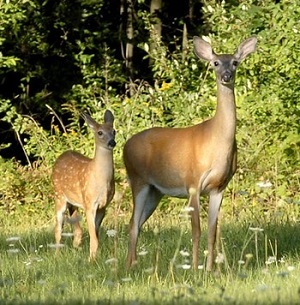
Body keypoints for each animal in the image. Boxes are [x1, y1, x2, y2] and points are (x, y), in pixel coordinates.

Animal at [52, 109, 115, 258]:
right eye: (100, 132)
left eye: (114, 131)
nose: (112, 142)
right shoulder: (89, 203)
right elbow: (94, 237)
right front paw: (91, 259)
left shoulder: (103, 206)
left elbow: (95, 235)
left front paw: (93, 256)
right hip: (59, 195)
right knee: (58, 229)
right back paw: (56, 255)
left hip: (73, 202)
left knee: (77, 231)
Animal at [123, 36, 256, 270]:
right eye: (215, 63)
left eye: (235, 62)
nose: (226, 76)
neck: (217, 144)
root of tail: (124, 145)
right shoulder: (193, 182)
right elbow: (196, 230)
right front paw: (195, 268)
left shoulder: (218, 188)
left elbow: (212, 231)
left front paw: (211, 269)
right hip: (137, 179)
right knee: (132, 222)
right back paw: (130, 266)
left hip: (155, 190)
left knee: (137, 222)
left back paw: (132, 264)